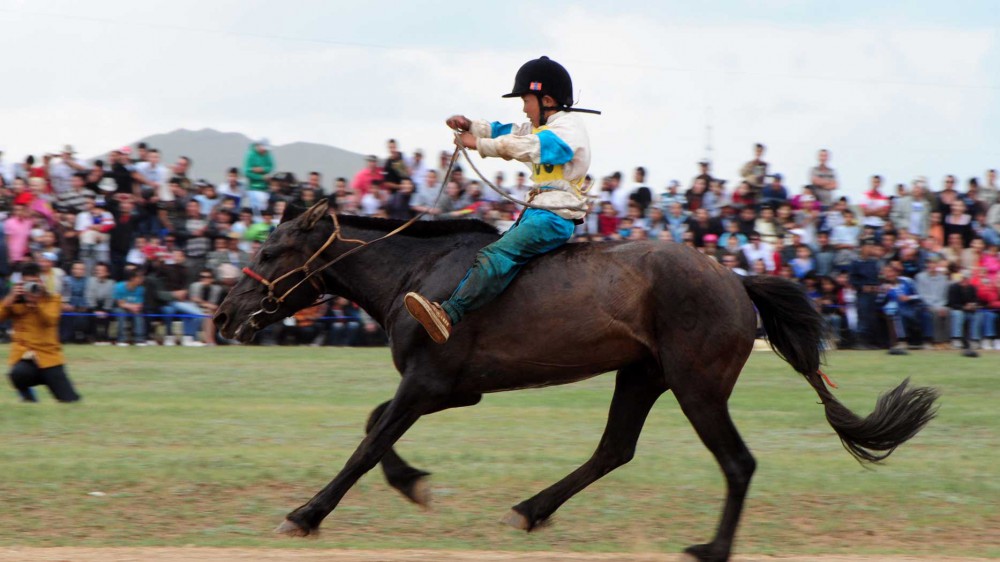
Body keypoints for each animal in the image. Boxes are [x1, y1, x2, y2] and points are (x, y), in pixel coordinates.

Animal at [217, 200, 936, 560]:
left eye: (267, 250)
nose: (223, 314)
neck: (417, 276)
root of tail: (736, 278)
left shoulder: (431, 385)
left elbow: (366, 444)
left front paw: (305, 515)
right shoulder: (445, 390)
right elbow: (375, 430)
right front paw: (414, 484)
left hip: (697, 385)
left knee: (737, 463)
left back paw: (711, 549)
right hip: (643, 376)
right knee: (615, 449)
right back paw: (531, 509)